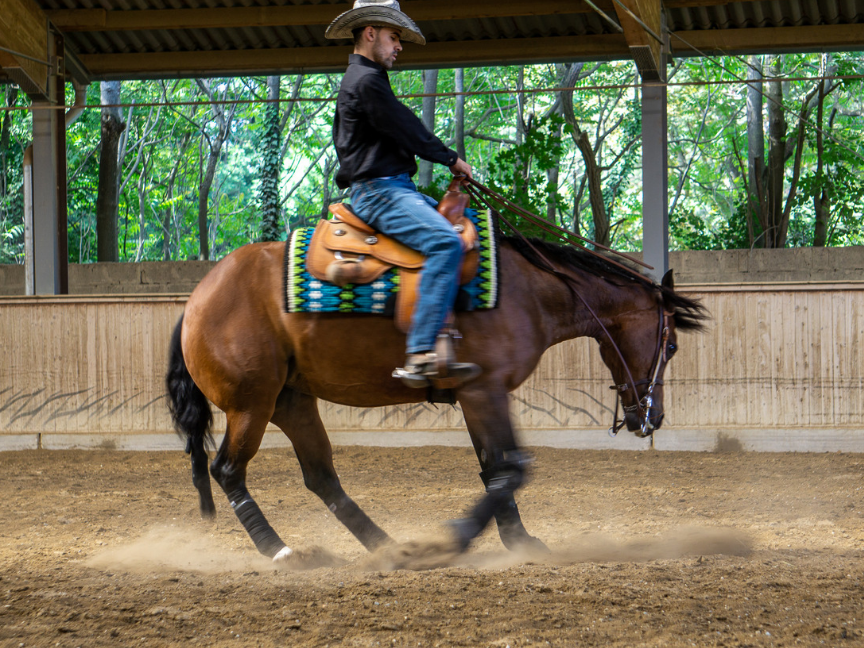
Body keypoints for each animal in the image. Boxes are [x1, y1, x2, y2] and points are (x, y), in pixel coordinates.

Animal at [166, 225, 707, 562]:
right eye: (672, 345)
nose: (651, 419)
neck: (526, 291)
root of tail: (197, 300)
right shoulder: (486, 390)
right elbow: (514, 466)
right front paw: (459, 538)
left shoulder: (475, 395)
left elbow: (496, 468)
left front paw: (517, 541)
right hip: (251, 405)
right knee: (227, 471)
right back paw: (281, 551)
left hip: (292, 402)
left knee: (322, 477)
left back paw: (388, 546)